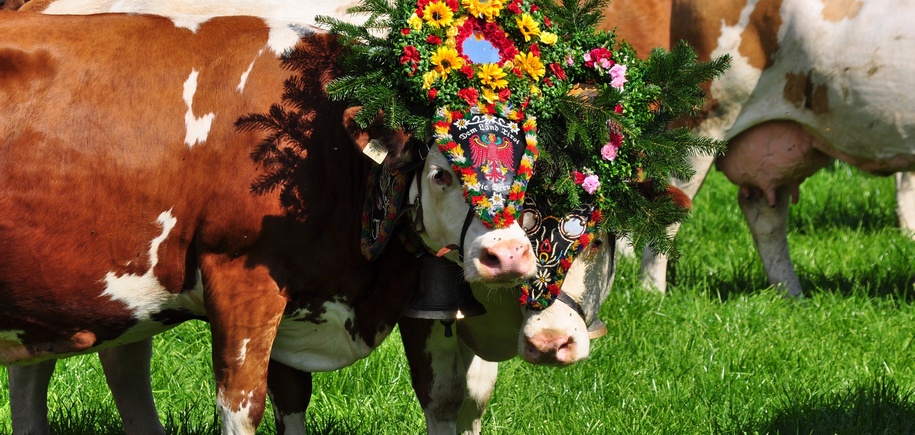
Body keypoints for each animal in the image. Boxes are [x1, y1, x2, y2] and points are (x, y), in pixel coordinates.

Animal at [0, 10, 541, 434]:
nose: (509, 256)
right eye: (441, 172)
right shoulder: (242, 278)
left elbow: (297, 397)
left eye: (527, 168)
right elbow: (244, 407)